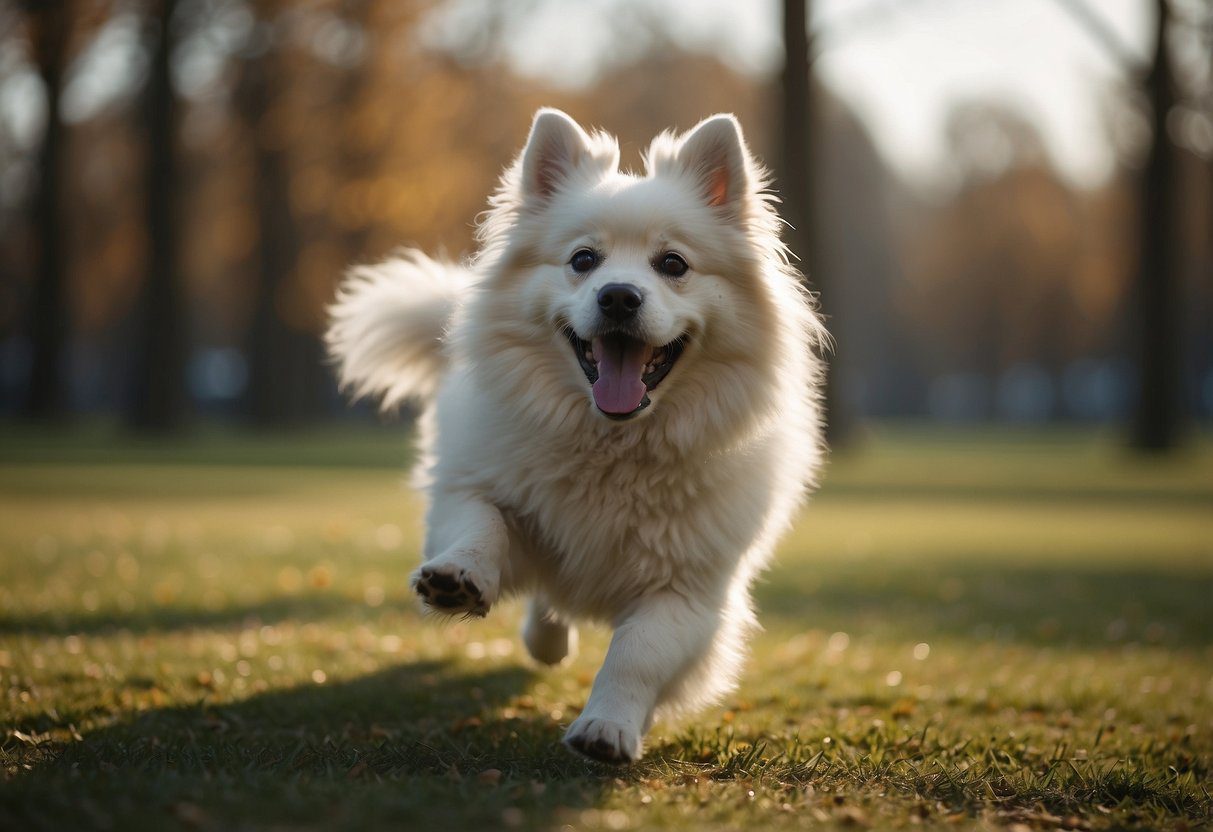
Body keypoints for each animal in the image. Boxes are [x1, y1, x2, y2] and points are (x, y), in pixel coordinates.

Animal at [327, 110, 829, 771]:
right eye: (584, 259)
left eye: (673, 264)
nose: (618, 295)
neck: (611, 444)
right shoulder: (473, 486)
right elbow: (481, 526)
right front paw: (458, 577)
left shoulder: (689, 591)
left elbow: (637, 654)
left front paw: (607, 727)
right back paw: (544, 637)